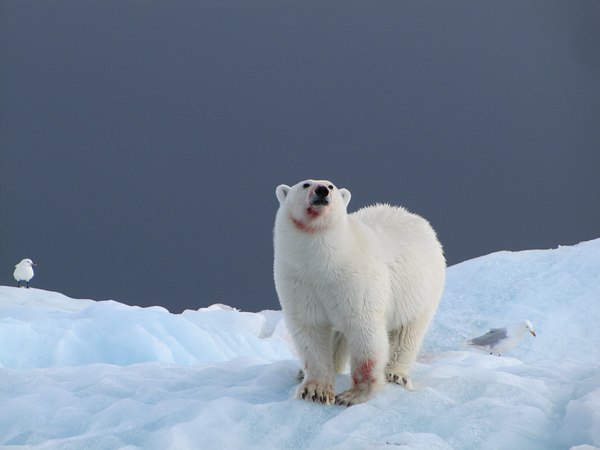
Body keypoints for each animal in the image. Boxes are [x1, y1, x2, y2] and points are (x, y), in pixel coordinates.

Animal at [274, 178, 442, 404]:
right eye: (306, 184)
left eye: (331, 186)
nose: (322, 190)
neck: (322, 263)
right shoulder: (300, 281)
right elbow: (311, 331)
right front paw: (314, 391)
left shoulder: (355, 281)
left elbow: (364, 331)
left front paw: (352, 396)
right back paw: (304, 371)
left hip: (420, 291)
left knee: (406, 333)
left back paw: (395, 374)